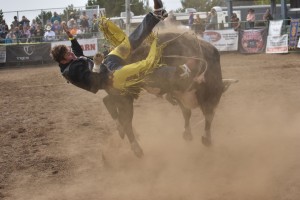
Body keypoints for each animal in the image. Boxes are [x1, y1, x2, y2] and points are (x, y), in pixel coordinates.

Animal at [102, 32, 231, 158]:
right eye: (217, 95)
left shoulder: (180, 94)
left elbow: (187, 112)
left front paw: (188, 134)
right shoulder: (205, 97)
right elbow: (207, 116)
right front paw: (206, 139)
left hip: (122, 94)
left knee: (107, 101)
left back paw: (122, 131)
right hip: (124, 97)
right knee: (126, 121)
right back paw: (136, 148)